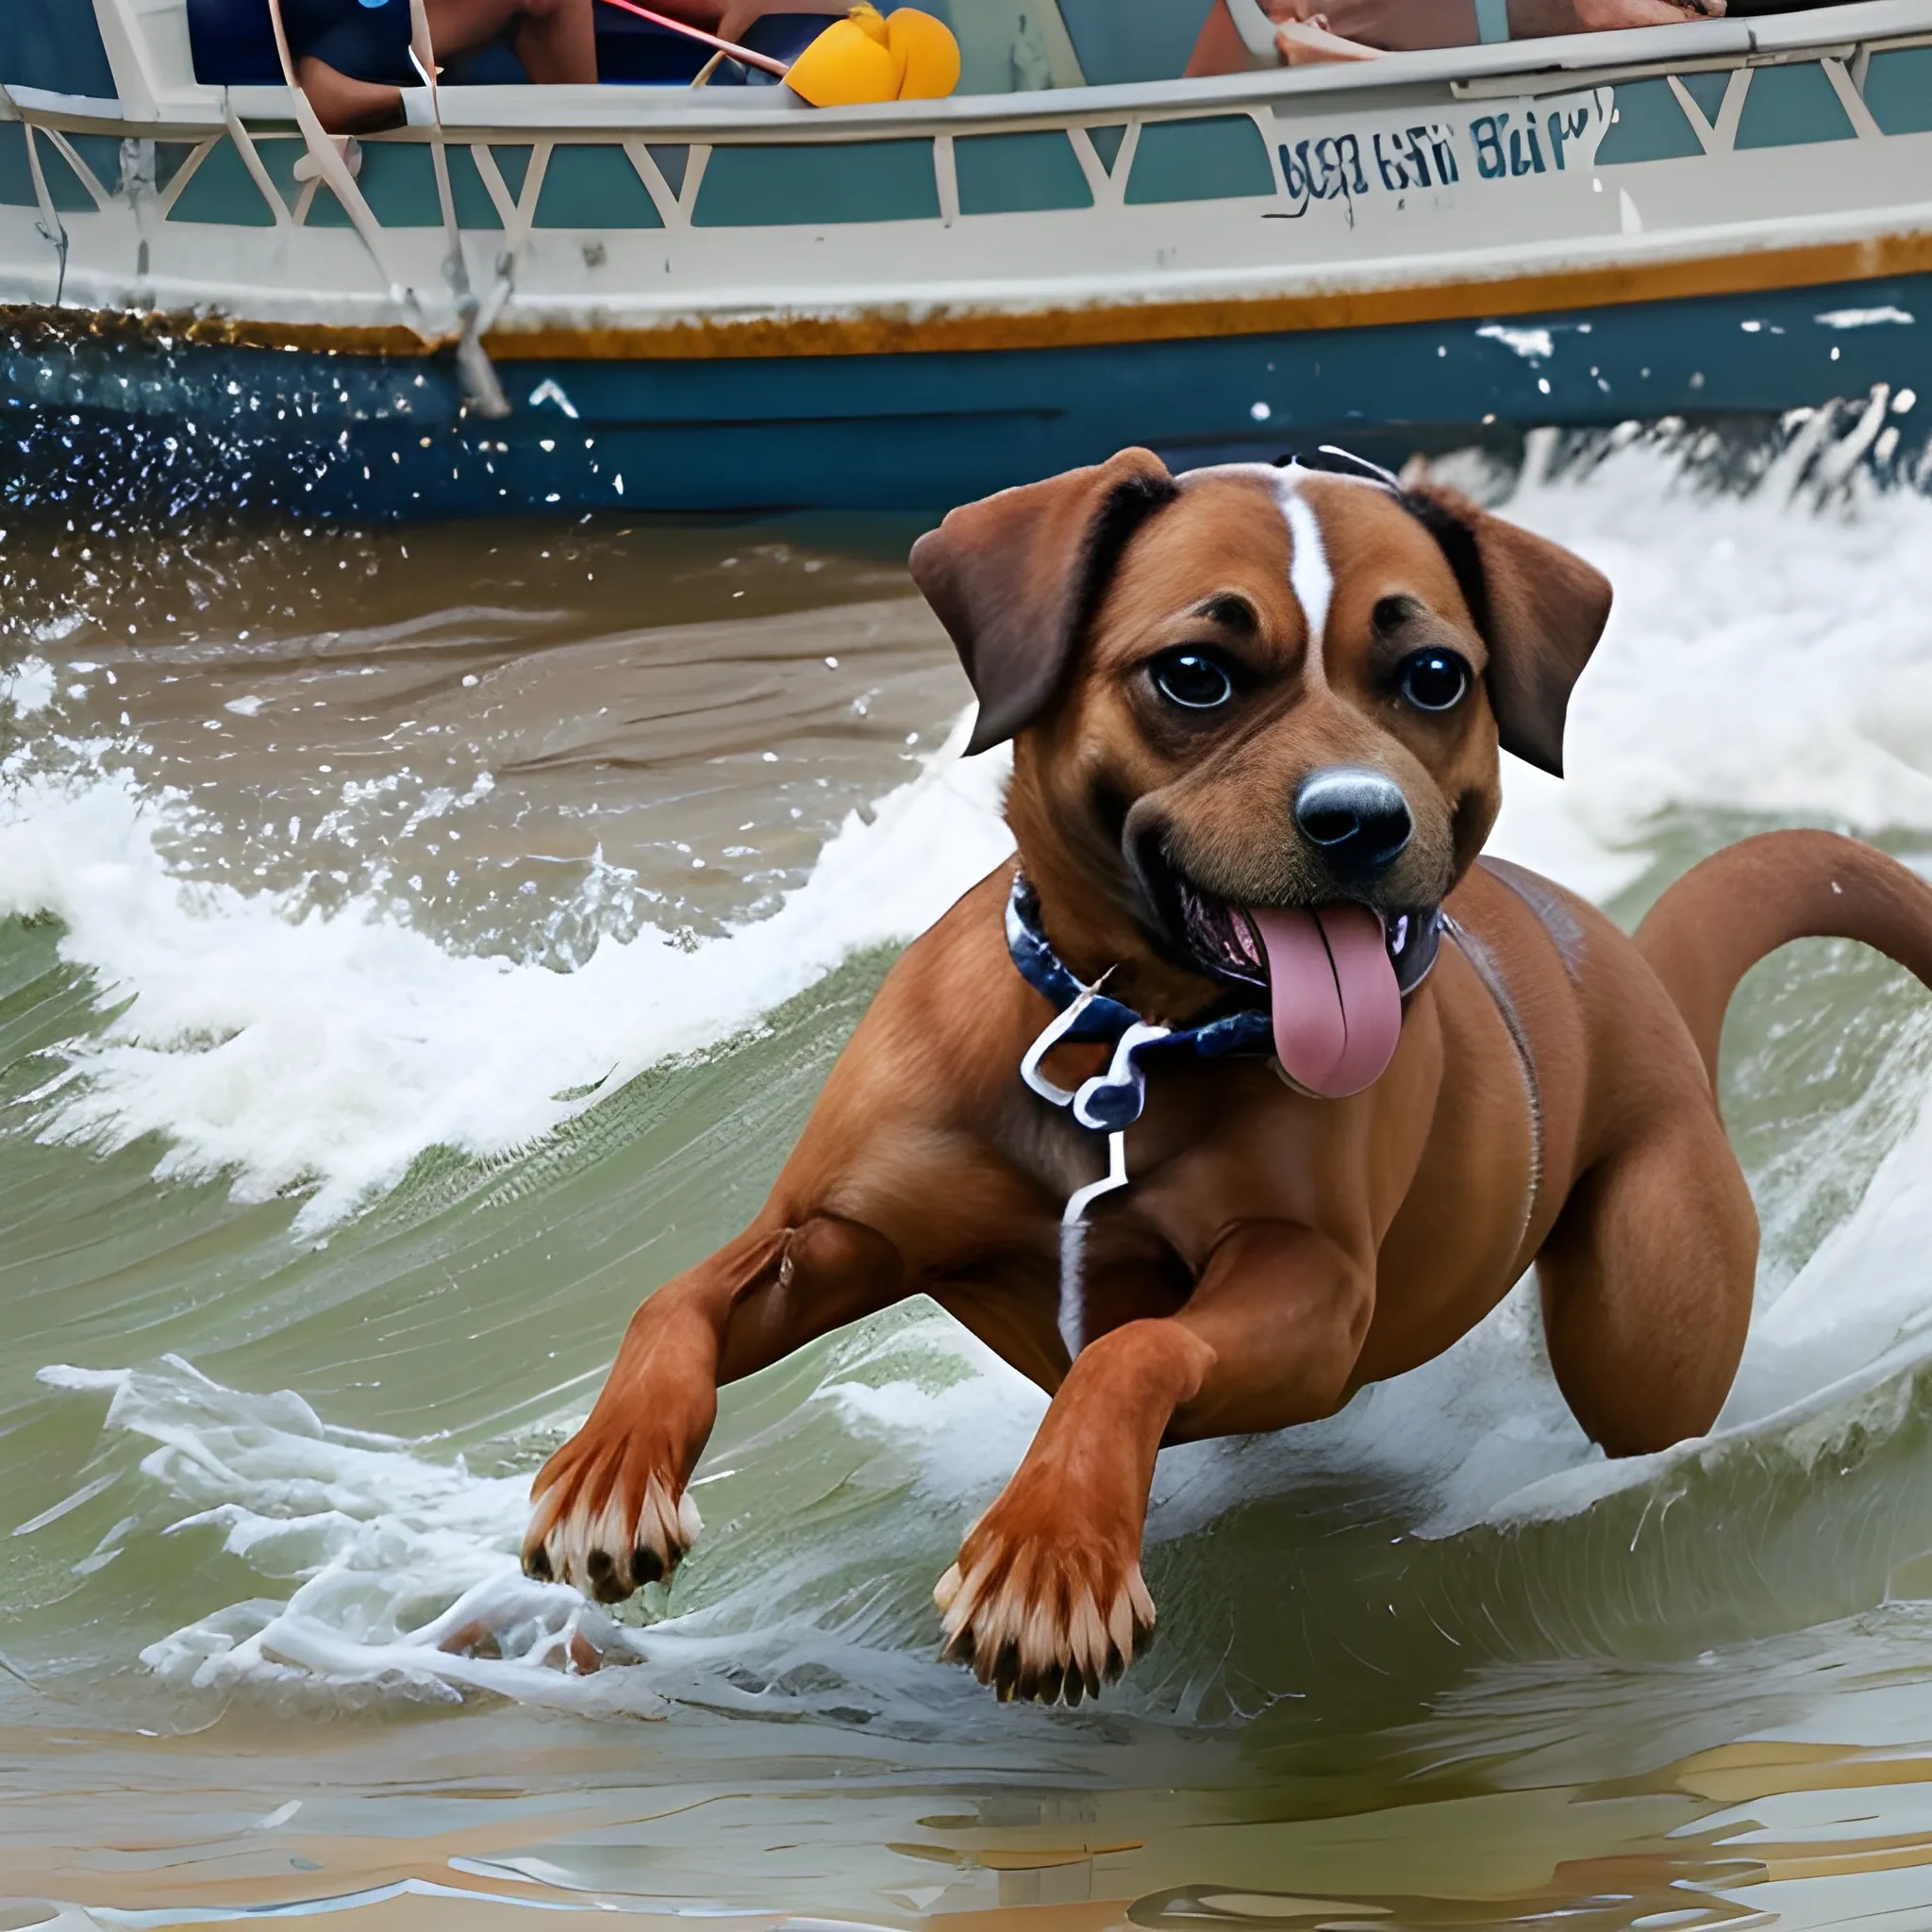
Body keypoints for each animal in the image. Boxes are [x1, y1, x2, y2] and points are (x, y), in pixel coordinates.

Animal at [521, 444, 1932, 1700]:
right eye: (1194, 675)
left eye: (1433, 677)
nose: (1361, 820)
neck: (1123, 1042)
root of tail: (1639, 976)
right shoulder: (843, 1233)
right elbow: (680, 1293)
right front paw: (609, 1465)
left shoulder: (1308, 1297)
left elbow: (1129, 1355)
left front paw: (1050, 1554)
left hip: (1641, 1326)